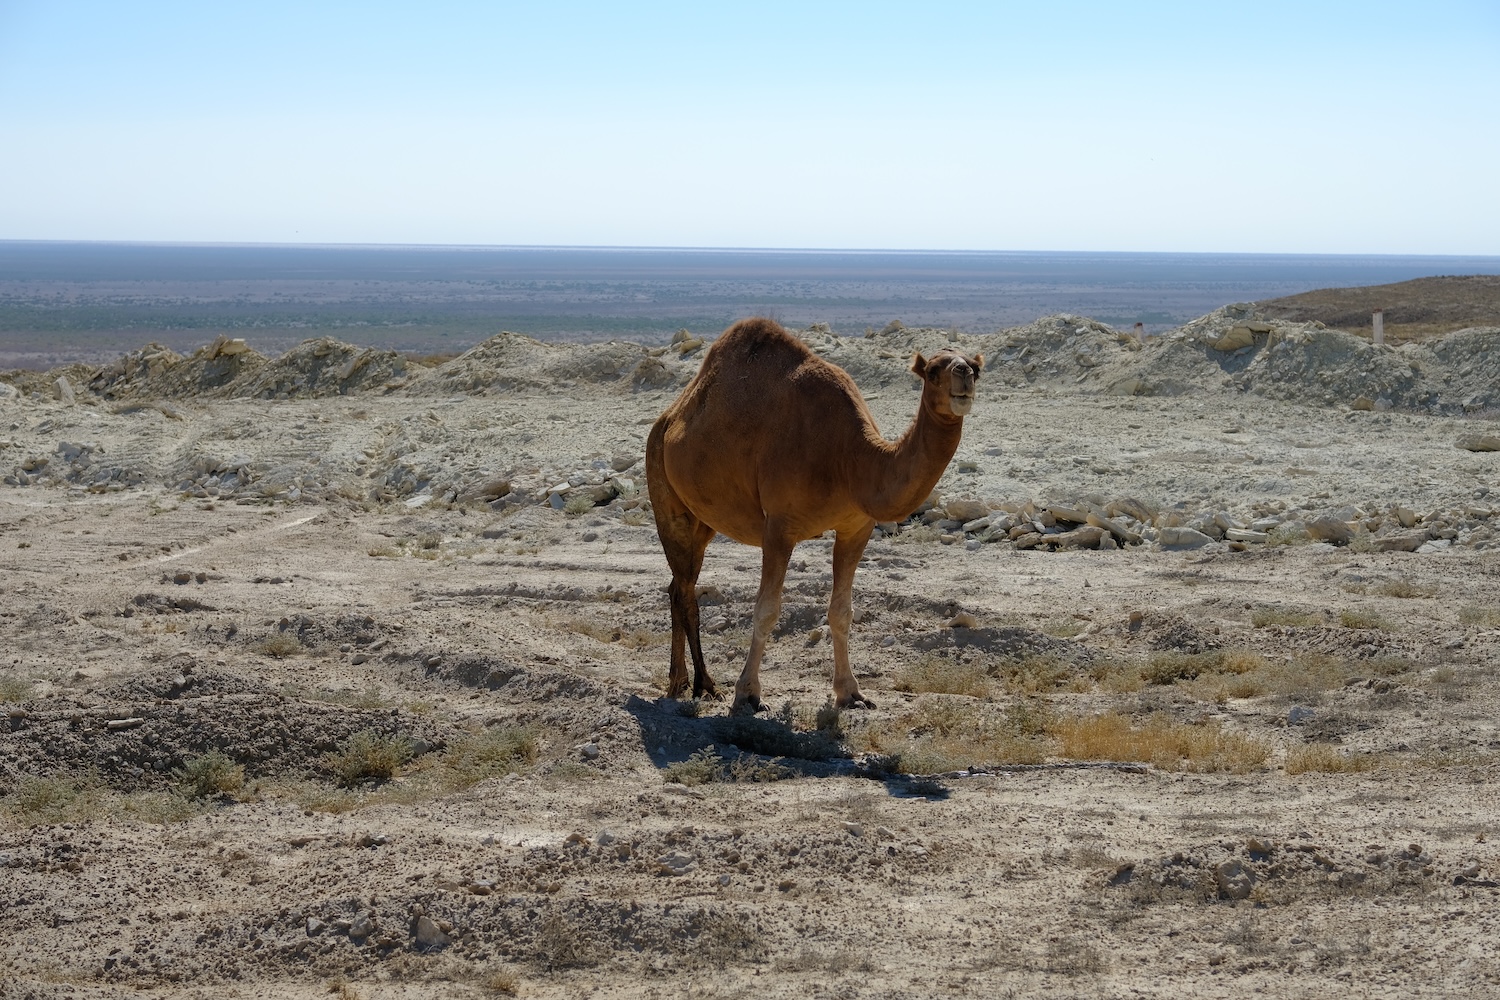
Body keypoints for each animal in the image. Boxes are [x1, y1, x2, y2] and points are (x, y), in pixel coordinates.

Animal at [645, 316, 984, 716]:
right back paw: (703, 685)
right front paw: (747, 694)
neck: (849, 458)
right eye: (933, 371)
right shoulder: (779, 526)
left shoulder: (856, 526)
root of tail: (668, 418)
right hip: (663, 489)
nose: (964, 374)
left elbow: (842, 612)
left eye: (976, 367)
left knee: (678, 586)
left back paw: (680, 683)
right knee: (685, 589)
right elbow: (766, 609)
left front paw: (851, 693)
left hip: (703, 520)